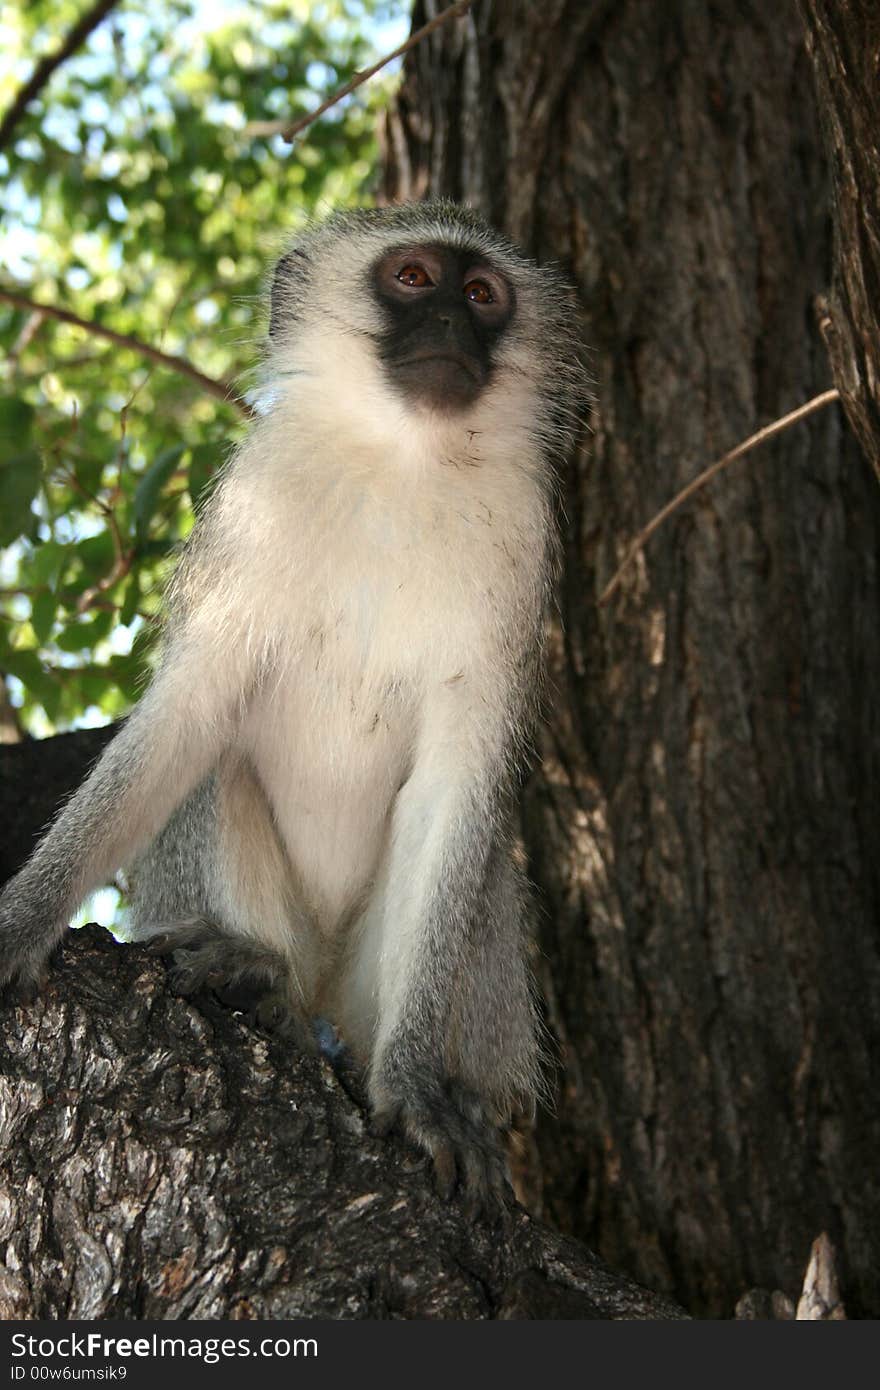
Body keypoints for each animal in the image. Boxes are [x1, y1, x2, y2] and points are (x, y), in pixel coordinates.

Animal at [0, 201, 583, 1212]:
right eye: (413, 279)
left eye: (482, 294)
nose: (451, 326)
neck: (404, 466)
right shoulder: (249, 513)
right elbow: (187, 717)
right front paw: (23, 916)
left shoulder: (523, 546)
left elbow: (459, 786)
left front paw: (418, 1088)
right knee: (217, 764)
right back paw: (260, 974)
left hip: (370, 983)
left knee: (482, 875)